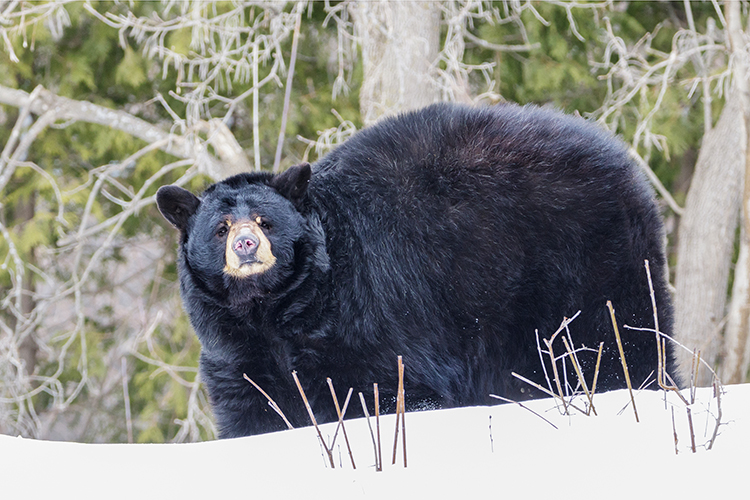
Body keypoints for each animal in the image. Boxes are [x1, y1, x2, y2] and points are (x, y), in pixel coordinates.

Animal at [157, 102, 676, 438]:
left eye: (266, 220)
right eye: (220, 228)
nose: (246, 244)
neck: (275, 311)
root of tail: (621, 156)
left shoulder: (365, 313)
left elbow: (389, 387)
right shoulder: (236, 352)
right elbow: (254, 411)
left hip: (588, 257)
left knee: (617, 336)